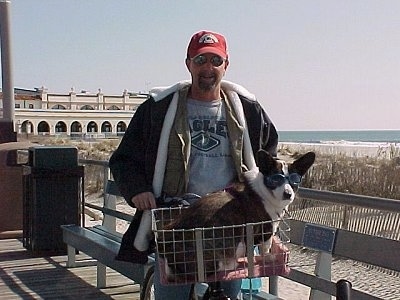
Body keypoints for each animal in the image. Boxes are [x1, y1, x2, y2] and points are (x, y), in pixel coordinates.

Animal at [159, 150, 316, 282]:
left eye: (295, 180)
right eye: (276, 179)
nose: (288, 194)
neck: (264, 190)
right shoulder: (265, 231)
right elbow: (265, 248)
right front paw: (267, 257)